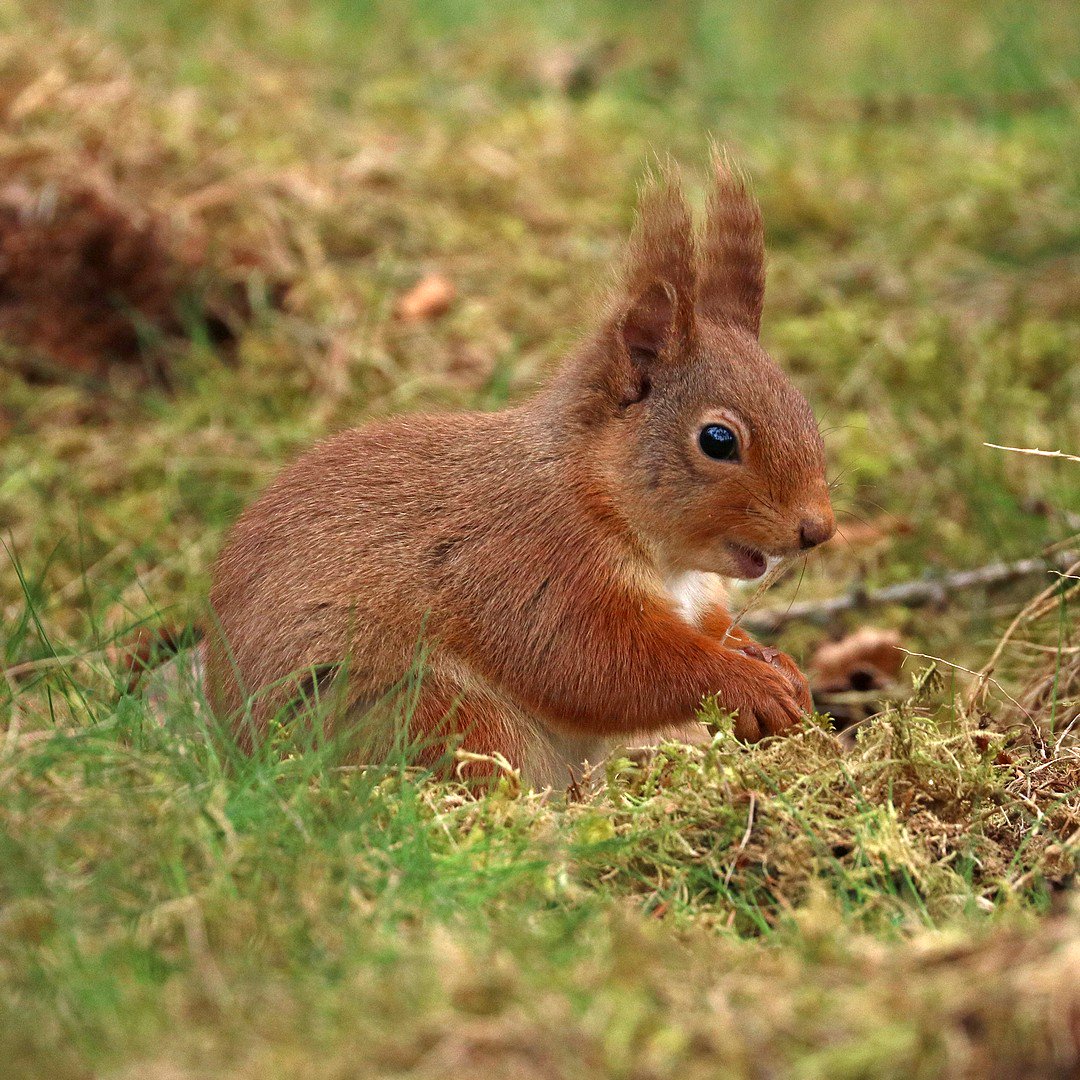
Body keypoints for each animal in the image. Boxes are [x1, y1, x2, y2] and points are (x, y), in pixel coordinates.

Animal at [206, 156, 838, 790]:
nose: (819, 530)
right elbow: (597, 665)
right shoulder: (535, 563)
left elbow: (712, 633)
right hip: (432, 712)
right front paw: (747, 685)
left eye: (804, 408)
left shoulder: (694, 598)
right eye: (717, 440)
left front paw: (780, 667)